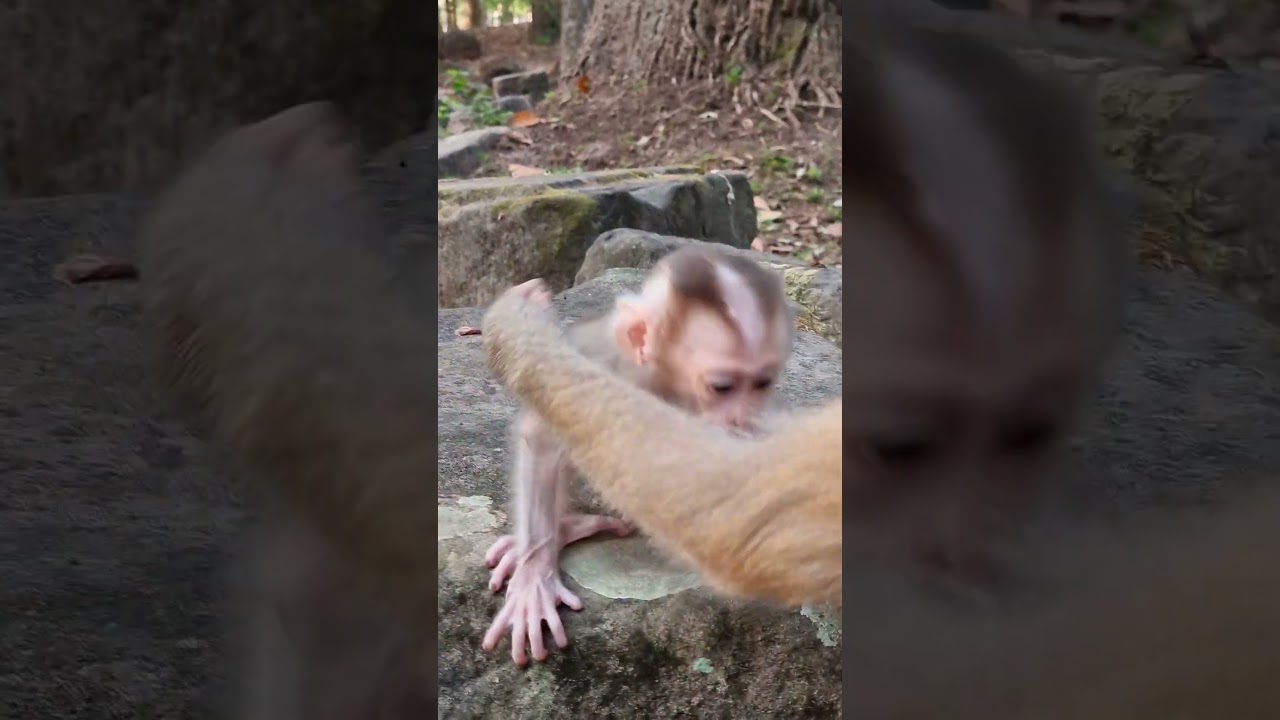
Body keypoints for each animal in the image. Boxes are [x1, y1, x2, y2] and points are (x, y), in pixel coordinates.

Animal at [482, 246, 796, 666]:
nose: (741, 416)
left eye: (762, 383)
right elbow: (546, 430)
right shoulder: (601, 366)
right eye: (722, 387)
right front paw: (535, 572)